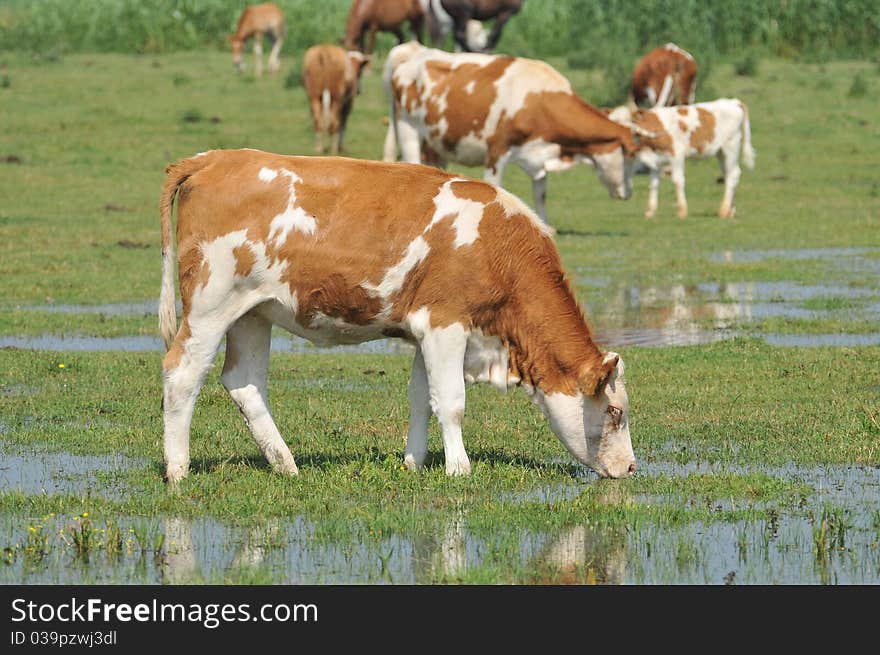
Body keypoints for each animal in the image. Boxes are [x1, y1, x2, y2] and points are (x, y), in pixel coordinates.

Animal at [158, 150, 636, 486]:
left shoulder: (424, 330)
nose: (632, 468)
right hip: (210, 305)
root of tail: (212, 159)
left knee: (245, 382)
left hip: (253, 312)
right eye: (615, 411)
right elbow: (452, 401)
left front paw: (415, 462)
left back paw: (285, 464)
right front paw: (459, 469)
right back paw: (178, 469)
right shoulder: (445, 323)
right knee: (182, 374)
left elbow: (422, 397)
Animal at [380, 43, 648, 224]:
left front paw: (546, 225)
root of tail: (414, 50)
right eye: (631, 155)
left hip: (435, 141)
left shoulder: (539, 156)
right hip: (407, 128)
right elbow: (494, 187)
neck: (540, 101)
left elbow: (541, 194)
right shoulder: (497, 151)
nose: (629, 192)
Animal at [608, 98, 752, 219]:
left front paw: (682, 211)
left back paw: (724, 210)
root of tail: (734, 102)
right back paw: (731, 211)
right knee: (729, 175)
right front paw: (650, 211)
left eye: (629, 122)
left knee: (733, 175)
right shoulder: (656, 161)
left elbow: (677, 181)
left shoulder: (676, 155)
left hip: (731, 147)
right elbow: (653, 184)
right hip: (720, 152)